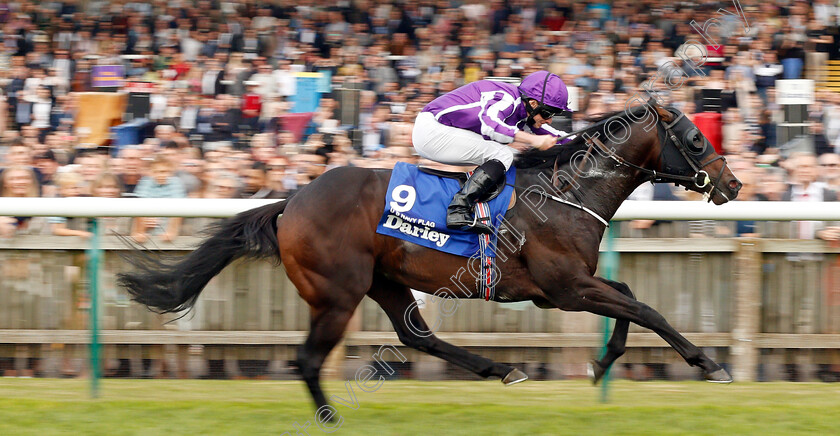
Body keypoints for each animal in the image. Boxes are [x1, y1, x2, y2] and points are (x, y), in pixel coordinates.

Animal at [120, 100, 740, 410]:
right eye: (696, 140)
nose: (732, 184)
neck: (567, 192)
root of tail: (292, 201)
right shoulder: (564, 290)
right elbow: (646, 308)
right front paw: (709, 364)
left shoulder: (567, 290)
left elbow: (631, 299)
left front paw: (603, 363)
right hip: (338, 292)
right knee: (309, 359)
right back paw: (329, 416)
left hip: (385, 279)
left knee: (414, 333)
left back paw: (501, 369)